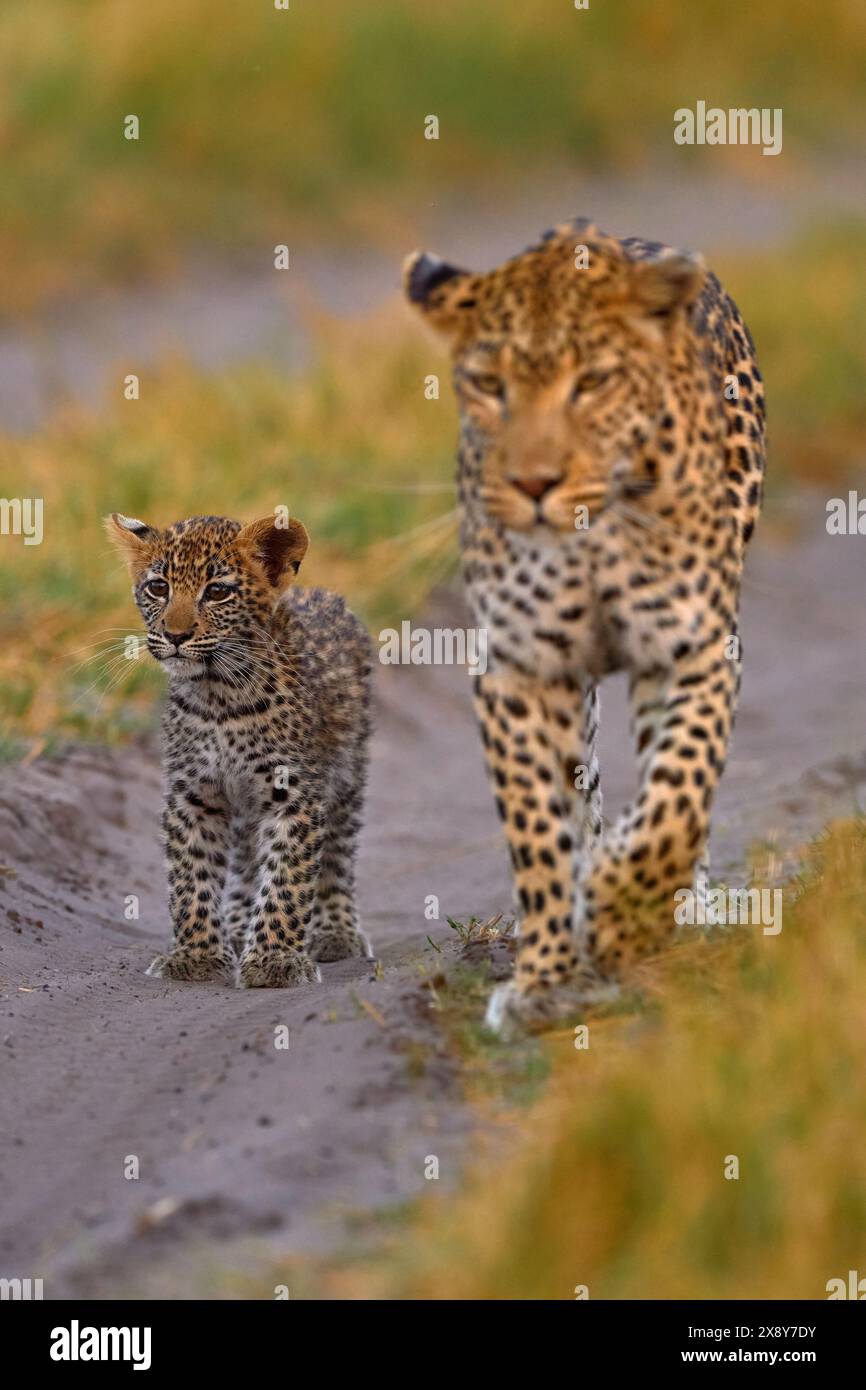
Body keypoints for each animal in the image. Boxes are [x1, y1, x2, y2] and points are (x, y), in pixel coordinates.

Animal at [106, 510, 373, 988]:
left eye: (217, 592)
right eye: (158, 587)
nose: (175, 635)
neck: (219, 697)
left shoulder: (294, 795)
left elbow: (287, 880)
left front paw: (274, 961)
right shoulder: (194, 795)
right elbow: (191, 878)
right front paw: (195, 955)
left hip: (347, 773)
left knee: (337, 854)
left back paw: (334, 931)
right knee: (247, 858)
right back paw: (235, 924)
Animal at [404, 218, 765, 1035]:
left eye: (593, 382)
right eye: (489, 385)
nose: (535, 483)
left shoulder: (695, 646)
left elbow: (679, 792)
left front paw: (623, 912)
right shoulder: (519, 668)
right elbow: (539, 831)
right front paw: (545, 977)